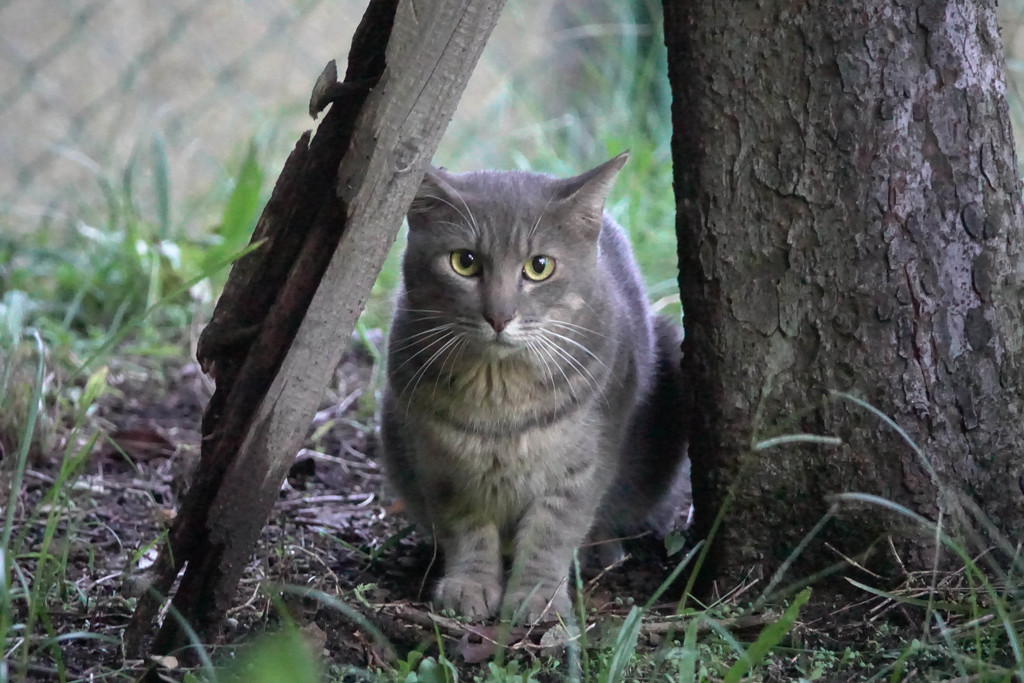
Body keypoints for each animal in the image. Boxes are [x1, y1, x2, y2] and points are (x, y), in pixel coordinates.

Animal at [382, 154, 688, 626]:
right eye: (464, 262)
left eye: (539, 266)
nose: (499, 316)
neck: (499, 393)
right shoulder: (445, 468)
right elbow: (467, 530)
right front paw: (469, 584)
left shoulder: (580, 471)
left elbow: (550, 536)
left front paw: (536, 596)